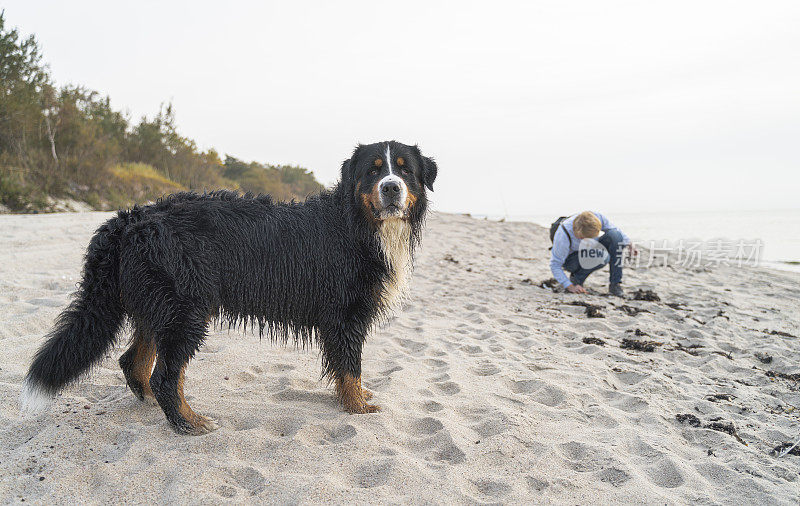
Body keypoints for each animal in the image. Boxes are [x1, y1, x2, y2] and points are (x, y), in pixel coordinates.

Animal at [20, 141, 438, 434]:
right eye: (372, 171)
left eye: (405, 171)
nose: (390, 188)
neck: (358, 225)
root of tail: (132, 217)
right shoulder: (345, 316)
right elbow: (351, 367)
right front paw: (357, 406)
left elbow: (349, 370)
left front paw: (359, 397)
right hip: (186, 310)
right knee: (164, 376)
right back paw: (188, 422)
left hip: (160, 307)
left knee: (134, 363)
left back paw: (156, 405)